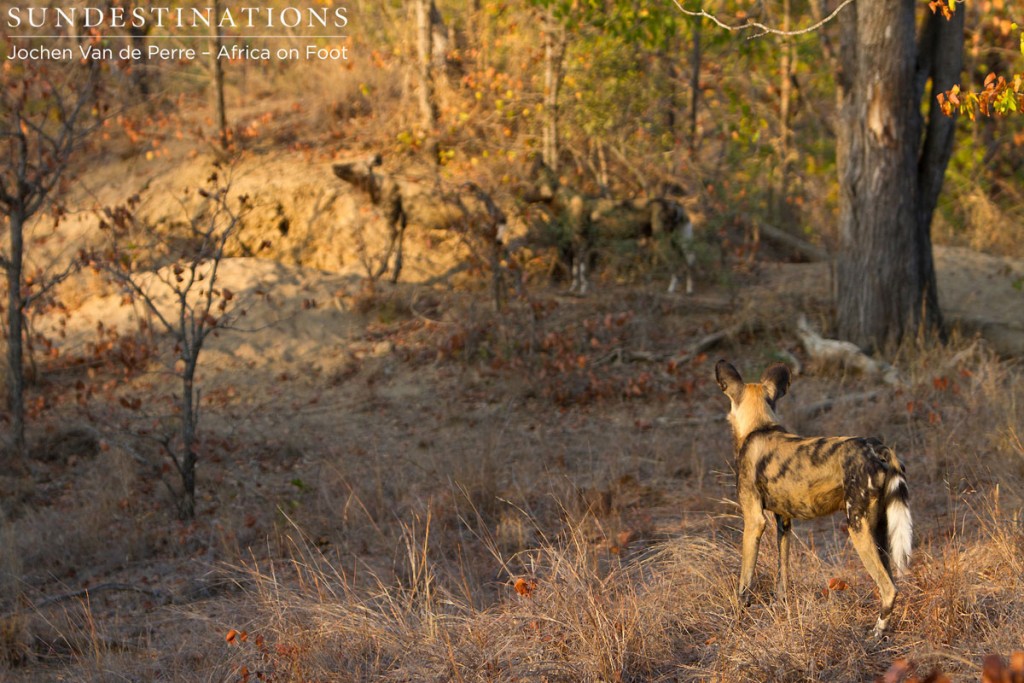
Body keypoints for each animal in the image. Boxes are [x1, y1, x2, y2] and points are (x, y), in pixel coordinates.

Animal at [712, 360, 913, 638]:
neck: (759, 426)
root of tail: (876, 446)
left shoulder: (754, 521)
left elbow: (745, 582)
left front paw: (738, 619)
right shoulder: (783, 523)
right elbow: (782, 575)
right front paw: (781, 608)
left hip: (857, 527)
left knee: (889, 587)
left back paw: (877, 633)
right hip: (881, 531)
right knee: (892, 578)